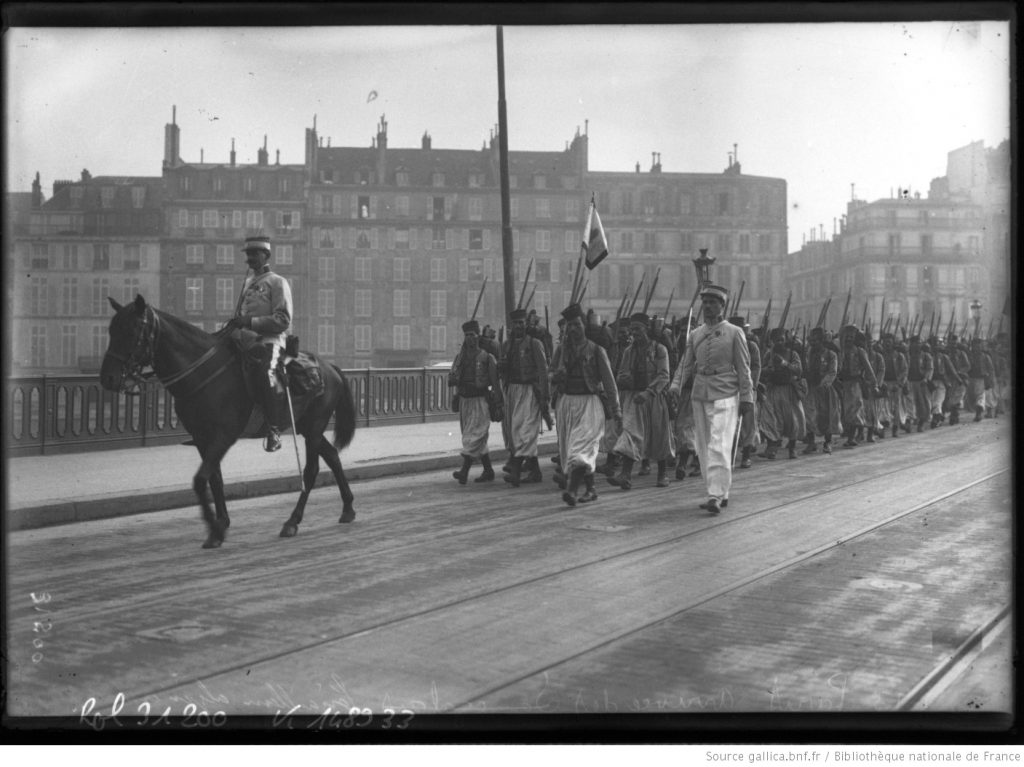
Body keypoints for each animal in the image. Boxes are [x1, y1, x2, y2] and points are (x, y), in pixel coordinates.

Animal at [99, 296, 356, 548]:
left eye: (132, 331)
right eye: (111, 330)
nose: (107, 378)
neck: (203, 372)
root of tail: (329, 367)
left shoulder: (223, 436)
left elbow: (201, 480)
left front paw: (215, 529)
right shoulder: (203, 438)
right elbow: (215, 479)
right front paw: (221, 522)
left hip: (313, 428)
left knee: (311, 471)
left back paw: (293, 521)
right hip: (305, 427)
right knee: (332, 456)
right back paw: (348, 508)